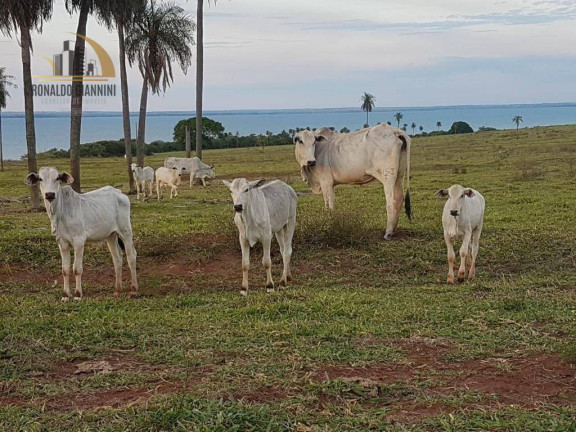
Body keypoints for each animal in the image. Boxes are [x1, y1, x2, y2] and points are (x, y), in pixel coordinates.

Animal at [24, 166, 140, 300]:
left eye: (57, 178)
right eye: (40, 179)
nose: (50, 194)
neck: (60, 212)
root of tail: (119, 193)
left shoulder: (79, 241)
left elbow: (77, 268)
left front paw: (77, 294)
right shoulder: (62, 242)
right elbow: (65, 269)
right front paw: (65, 295)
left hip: (125, 230)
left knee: (131, 256)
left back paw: (134, 289)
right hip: (111, 235)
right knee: (118, 259)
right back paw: (117, 290)